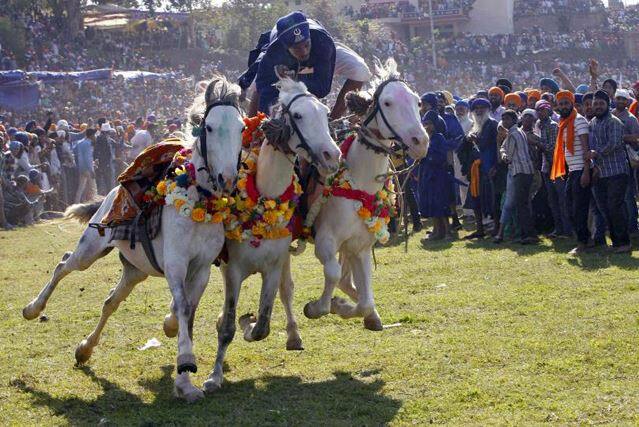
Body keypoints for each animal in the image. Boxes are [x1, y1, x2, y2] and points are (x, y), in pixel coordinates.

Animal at [21, 77, 245, 404]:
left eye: (242, 128)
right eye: (210, 128)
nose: (227, 179)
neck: (198, 203)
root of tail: (111, 193)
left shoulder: (201, 268)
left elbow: (187, 310)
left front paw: (177, 351)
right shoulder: (176, 264)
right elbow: (182, 307)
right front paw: (185, 376)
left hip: (136, 270)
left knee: (110, 302)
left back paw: (84, 349)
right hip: (91, 248)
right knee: (64, 265)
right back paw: (33, 309)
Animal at [201, 77, 342, 394]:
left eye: (325, 112)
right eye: (298, 115)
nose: (332, 155)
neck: (264, 193)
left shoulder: (273, 266)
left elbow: (263, 324)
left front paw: (250, 322)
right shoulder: (233, 270)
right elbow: (227, 325)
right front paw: (214, 376)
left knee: (286, 291)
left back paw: (293, 336)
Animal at [304, 59, 430, 332]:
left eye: (417, 102)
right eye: (388, 103)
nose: (420, 141)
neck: (360, 183)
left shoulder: (360, 246)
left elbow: (364, 299)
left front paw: (347, 307)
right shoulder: (325, 241)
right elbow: (332, 274)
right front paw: (317, 307)